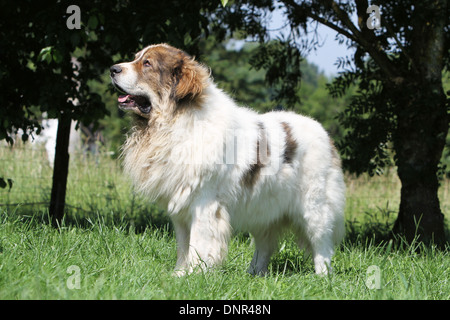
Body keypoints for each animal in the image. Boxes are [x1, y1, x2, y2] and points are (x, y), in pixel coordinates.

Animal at [110, 43, 344, 276]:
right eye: (136, 58)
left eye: (147, 64)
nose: (113, 69)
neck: (175, 121)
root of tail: (323, 132)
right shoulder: (181, 208)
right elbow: (183, 245)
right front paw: (179, 274)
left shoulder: (203, 203)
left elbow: (198, 244)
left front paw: (194, 274)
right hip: (265, 207)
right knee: (264, 244)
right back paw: (254, 273)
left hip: (314, 205)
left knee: (321, 242)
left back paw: (323, 275)